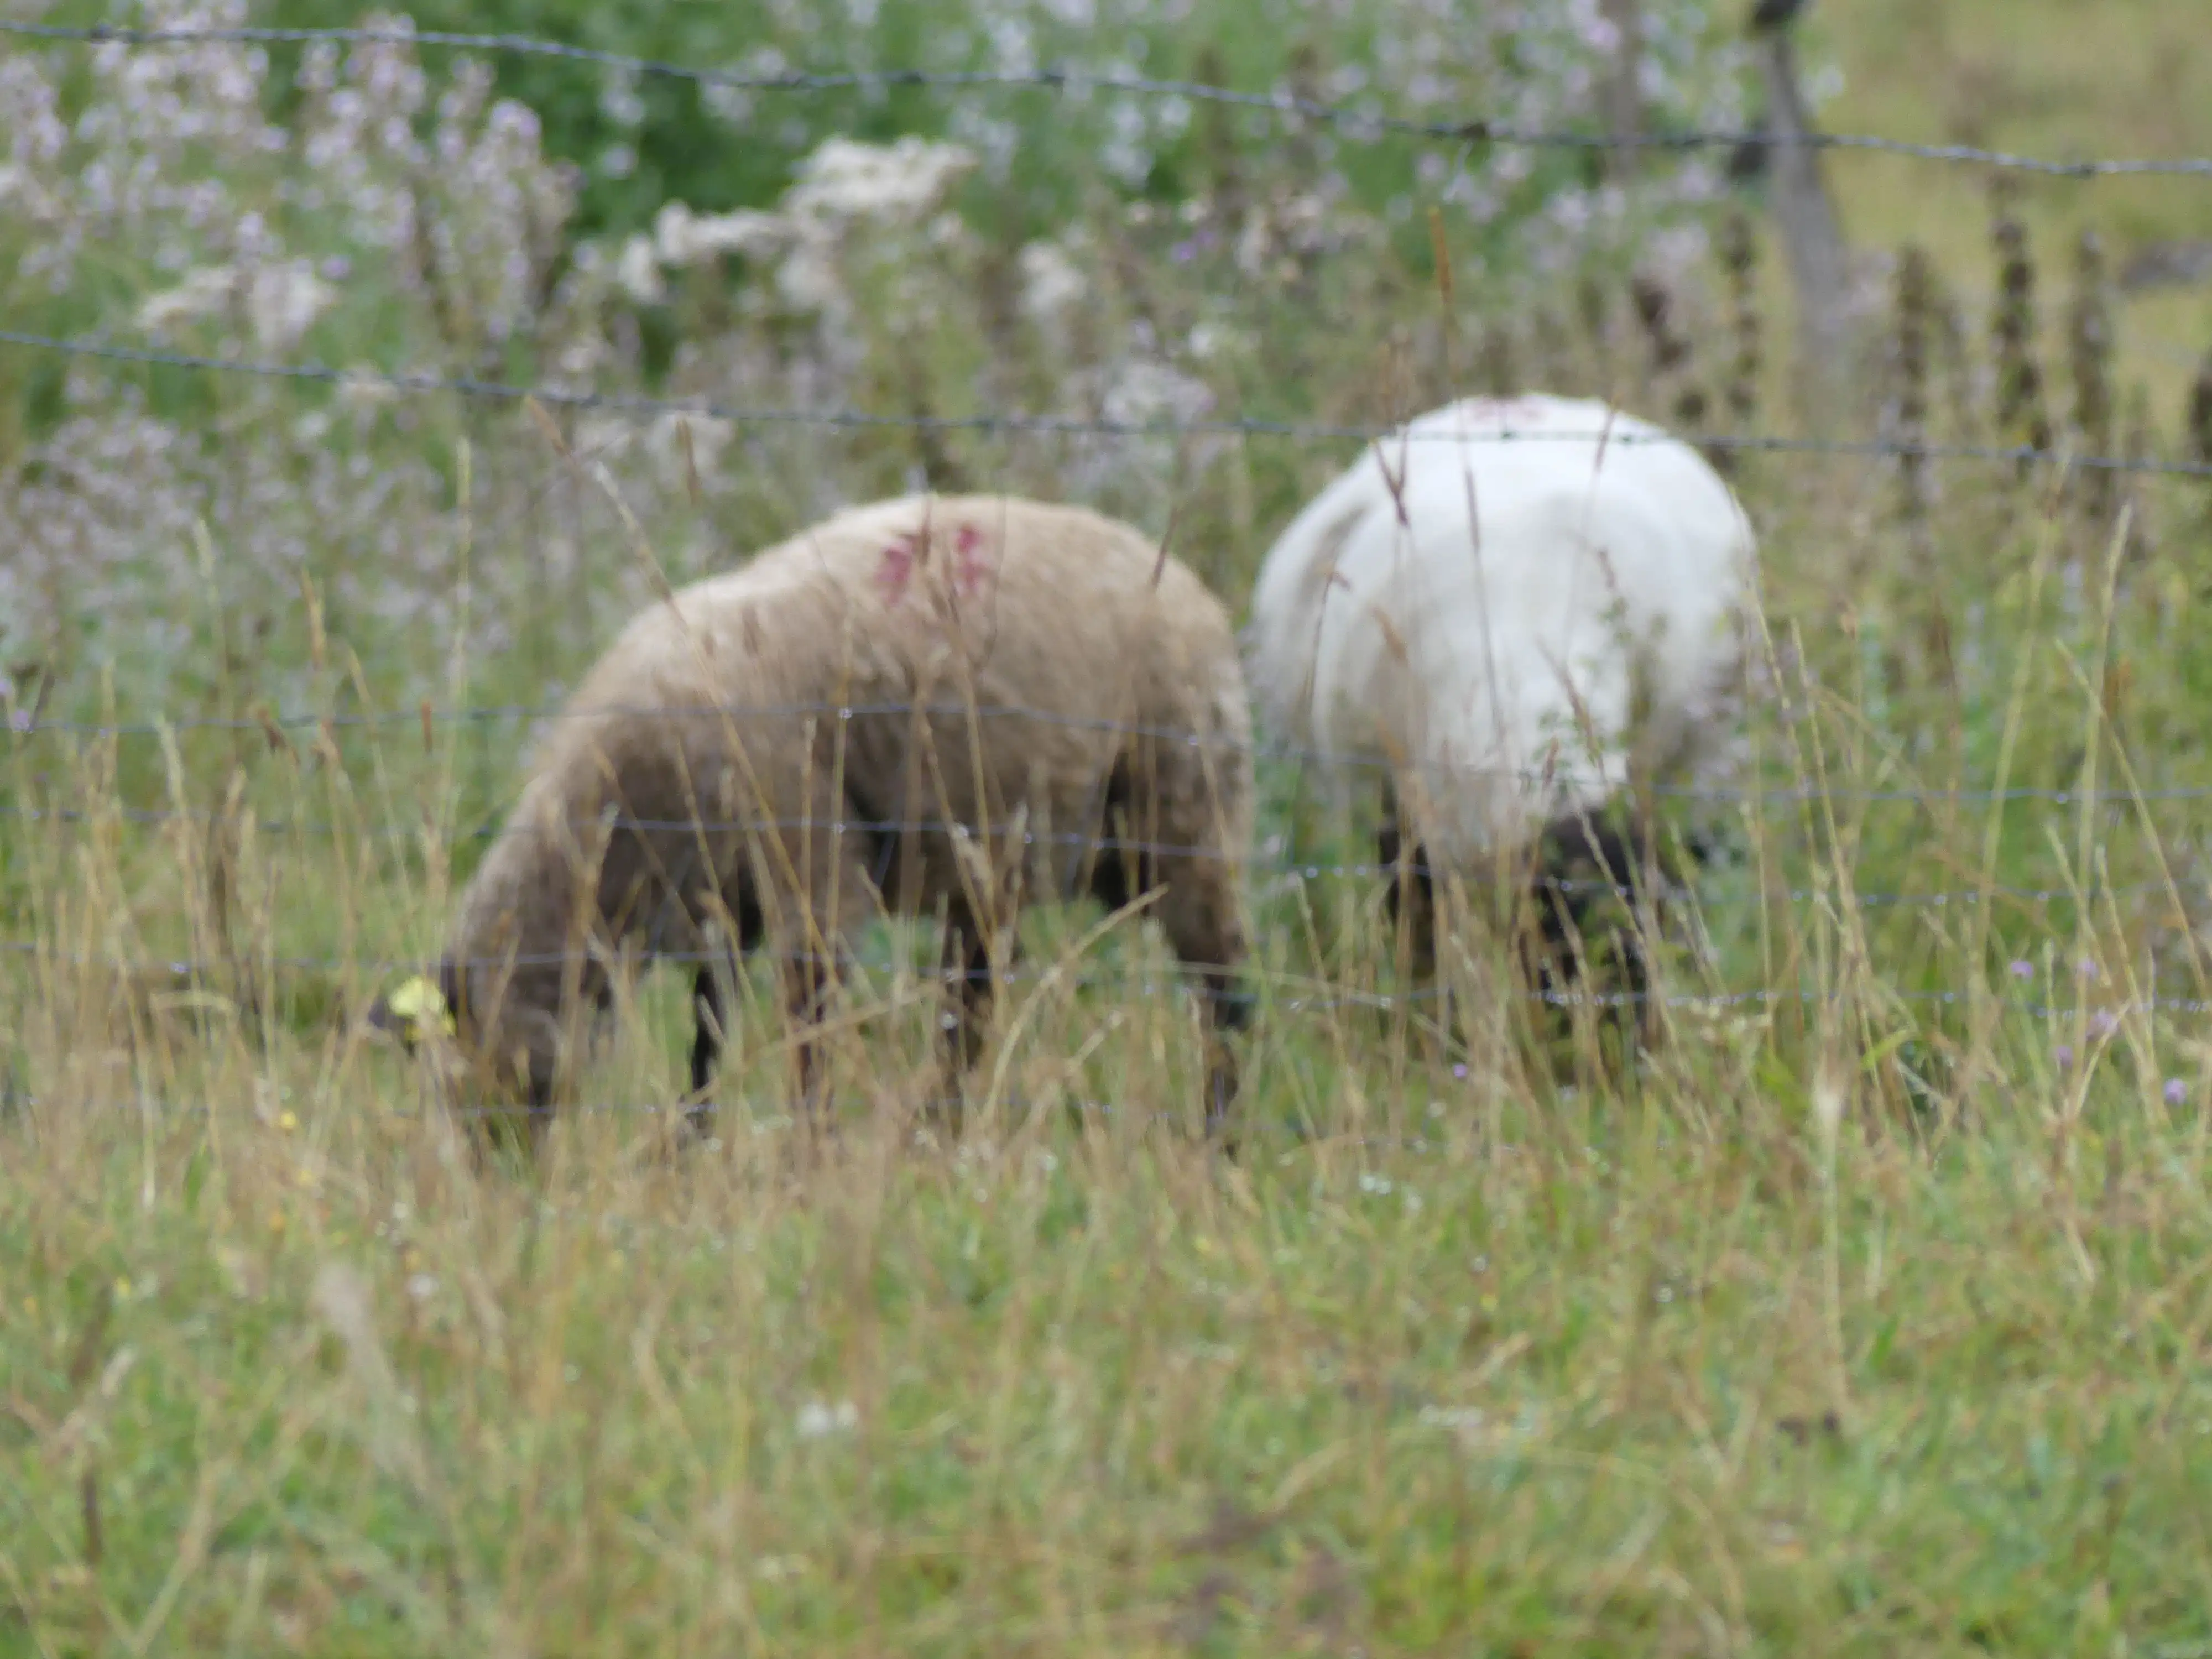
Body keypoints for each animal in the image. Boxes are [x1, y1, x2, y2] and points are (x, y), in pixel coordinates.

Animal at [366, 492, 1256, 1150]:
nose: (501, 1176)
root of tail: (1192, 590)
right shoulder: (724, 905)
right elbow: (709, 1035)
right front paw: (695, 1148)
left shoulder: (808, 871)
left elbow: (808, 1040)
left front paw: (805, 1162)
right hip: (1000, 857)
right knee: (968, 1013)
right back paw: (937, 1139)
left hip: (1180, 812)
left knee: (1226, 989)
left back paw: (1219, 1143)